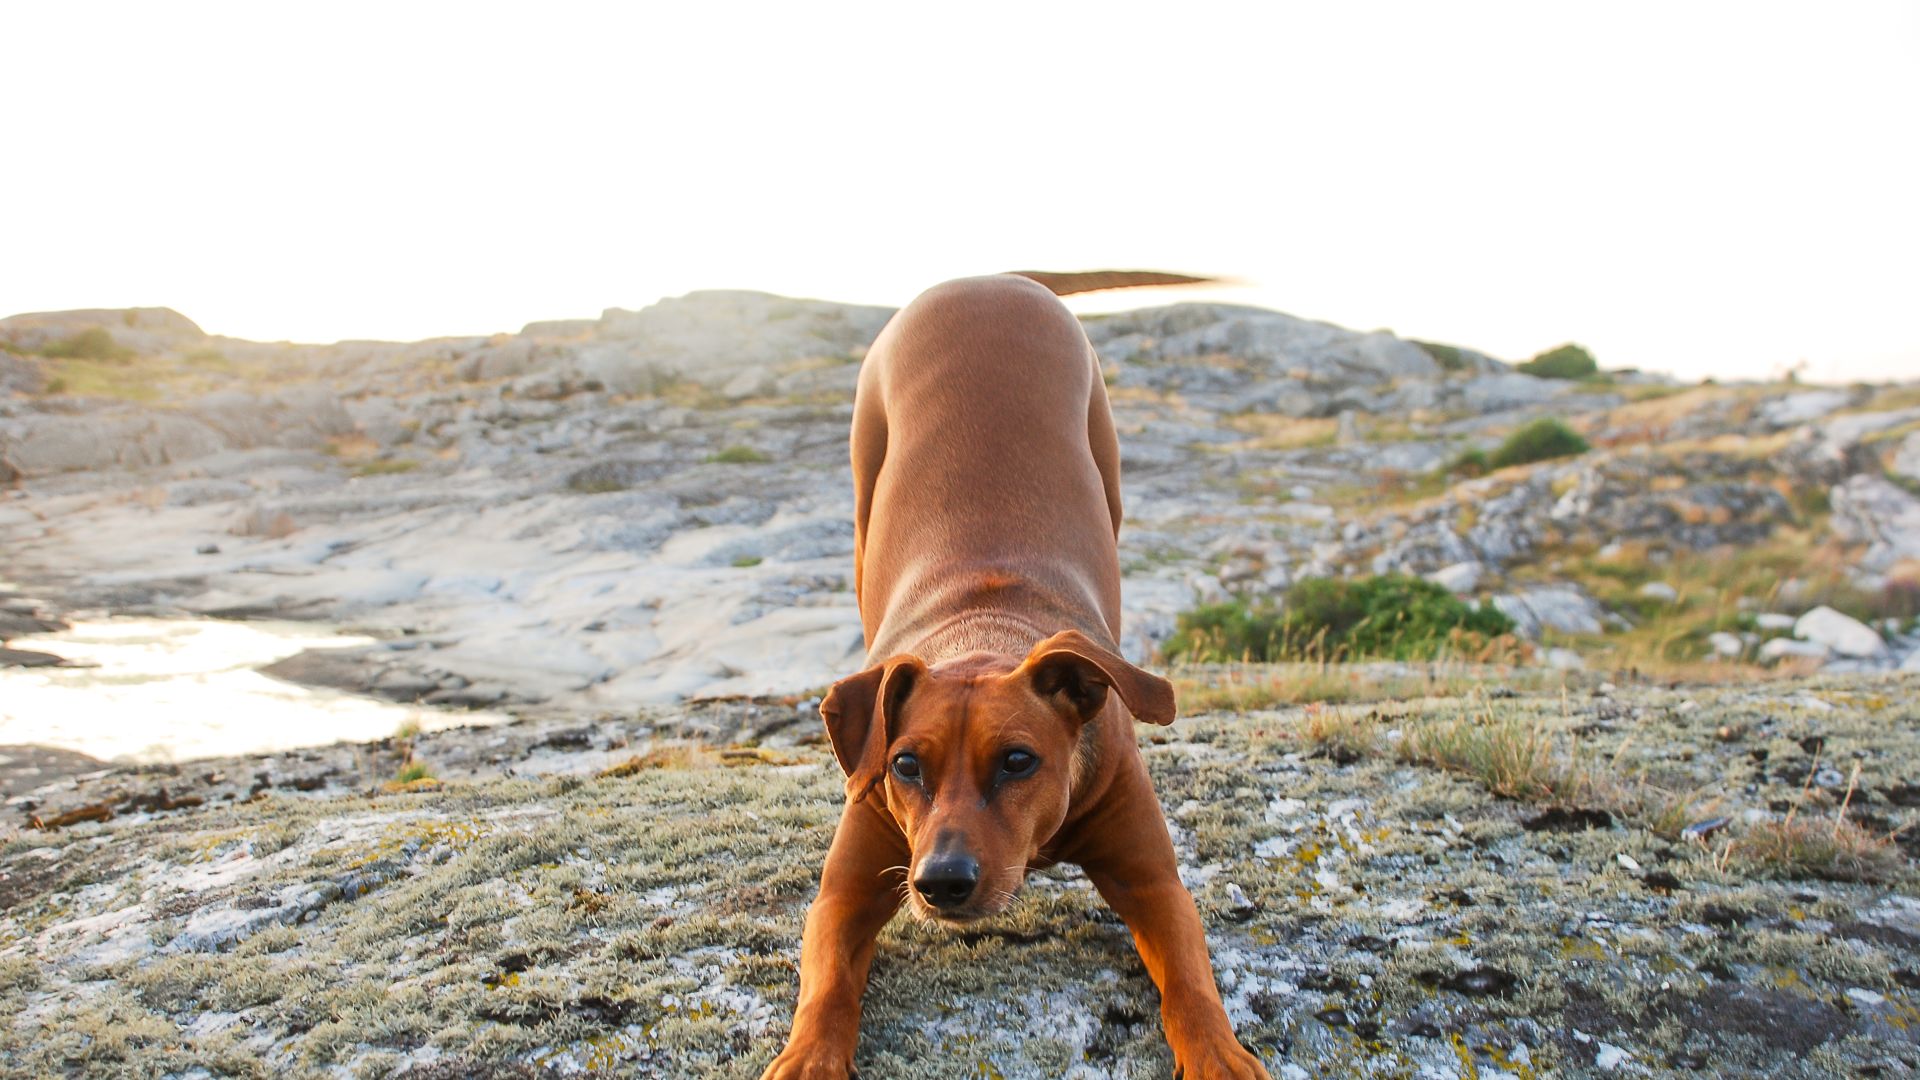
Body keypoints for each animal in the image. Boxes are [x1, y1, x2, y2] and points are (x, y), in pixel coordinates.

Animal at [764, 270, 1274, 1076]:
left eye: (1017, 761)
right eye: (905, 766)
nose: (941, 882)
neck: (983, 631)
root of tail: (986, 279)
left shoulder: (1152, 879)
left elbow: (1191, 978)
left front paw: (1219, 1054)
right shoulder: (847, 887)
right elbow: (825, 986)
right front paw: (808, 1056)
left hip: (1106, 458)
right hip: (864, 487)